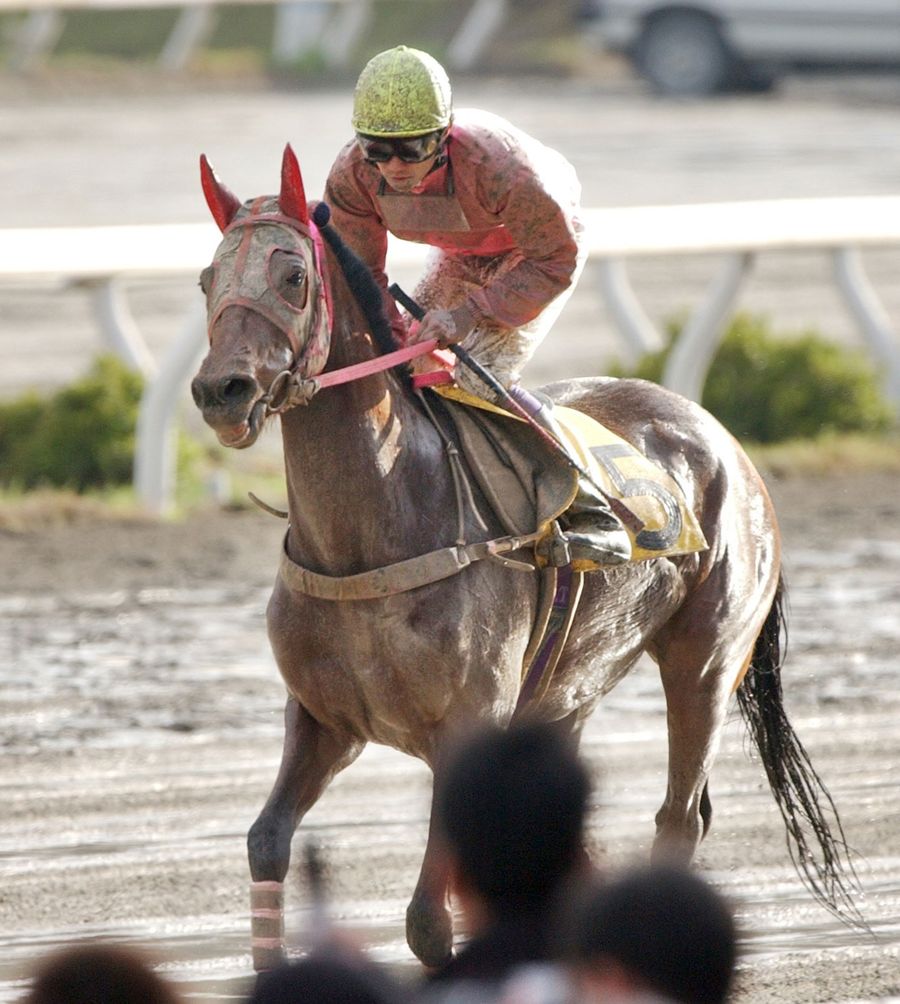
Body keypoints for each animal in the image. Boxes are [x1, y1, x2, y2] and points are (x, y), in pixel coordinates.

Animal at [190, 145, 858, 970]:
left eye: (292, 277)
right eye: (206, 280)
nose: (221, 390)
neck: (372, 530)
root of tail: (722, 437)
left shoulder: (468, 723)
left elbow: (427, 920)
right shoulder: (322, 719)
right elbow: (266, 842)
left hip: (705, 662)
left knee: (679, 816)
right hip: (567, 692)